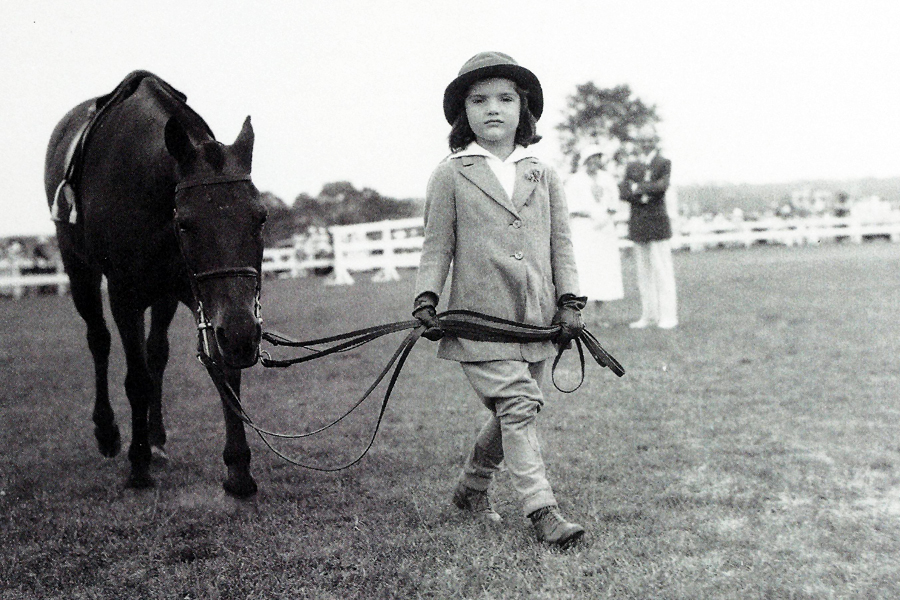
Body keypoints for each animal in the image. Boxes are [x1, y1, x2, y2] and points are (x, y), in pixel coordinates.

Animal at [44, 72, 268, 496]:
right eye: (186, 223)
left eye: (261, 217)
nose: (243, 335)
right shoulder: (125, 296)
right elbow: (136, 380)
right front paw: (138, 463)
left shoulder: (201, 295)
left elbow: (221, 368)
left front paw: (238, 467)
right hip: (78, 270)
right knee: (99, 340)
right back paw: (108, 432)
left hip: (166, 296)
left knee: (156, 353)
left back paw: (157, 437)